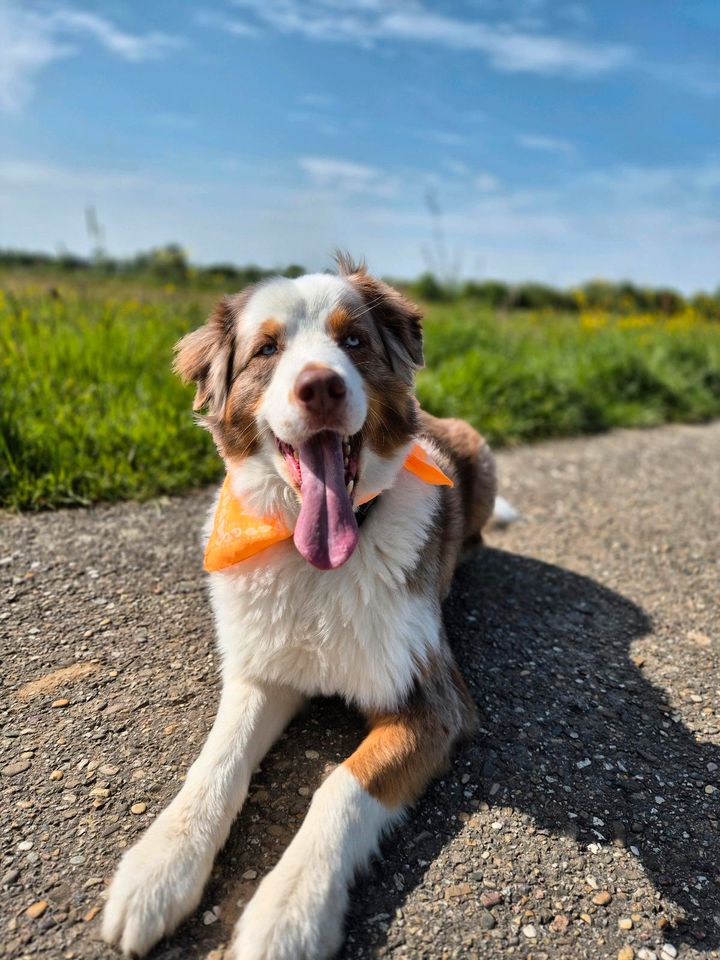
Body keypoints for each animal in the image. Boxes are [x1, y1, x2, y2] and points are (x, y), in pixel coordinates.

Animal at [101, 255, 498, 960]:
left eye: (354, 340)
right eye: (266, 349)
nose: (320, 387)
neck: (318, 567)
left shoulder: (430, 702)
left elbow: (339, 787)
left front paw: (288, 912)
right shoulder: (263, 671)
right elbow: (216, 761)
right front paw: (156, 869)